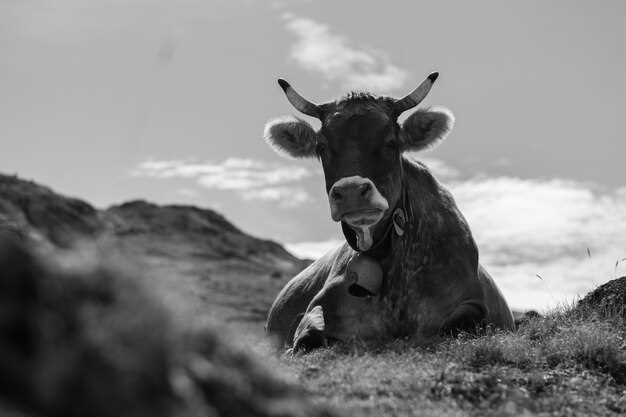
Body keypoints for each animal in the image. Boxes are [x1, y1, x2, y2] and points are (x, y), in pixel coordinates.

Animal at [262, 72, 512, 352]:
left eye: (391, 142)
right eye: (322, 147)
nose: (351, 191)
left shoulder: (471, 302)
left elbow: (463, 320)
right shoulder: (318, 305)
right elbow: (309, 334)